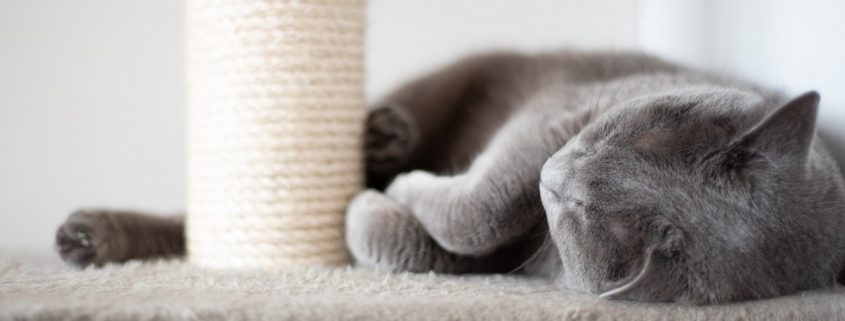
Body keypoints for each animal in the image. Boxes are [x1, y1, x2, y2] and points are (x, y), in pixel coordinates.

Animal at [56, 50, 844, 302]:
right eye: (632, 129)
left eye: (587, 219)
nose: (561, 174)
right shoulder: (554, 112)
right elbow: (485, 203)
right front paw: (395, 187)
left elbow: (436, 243)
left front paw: (372, 207)